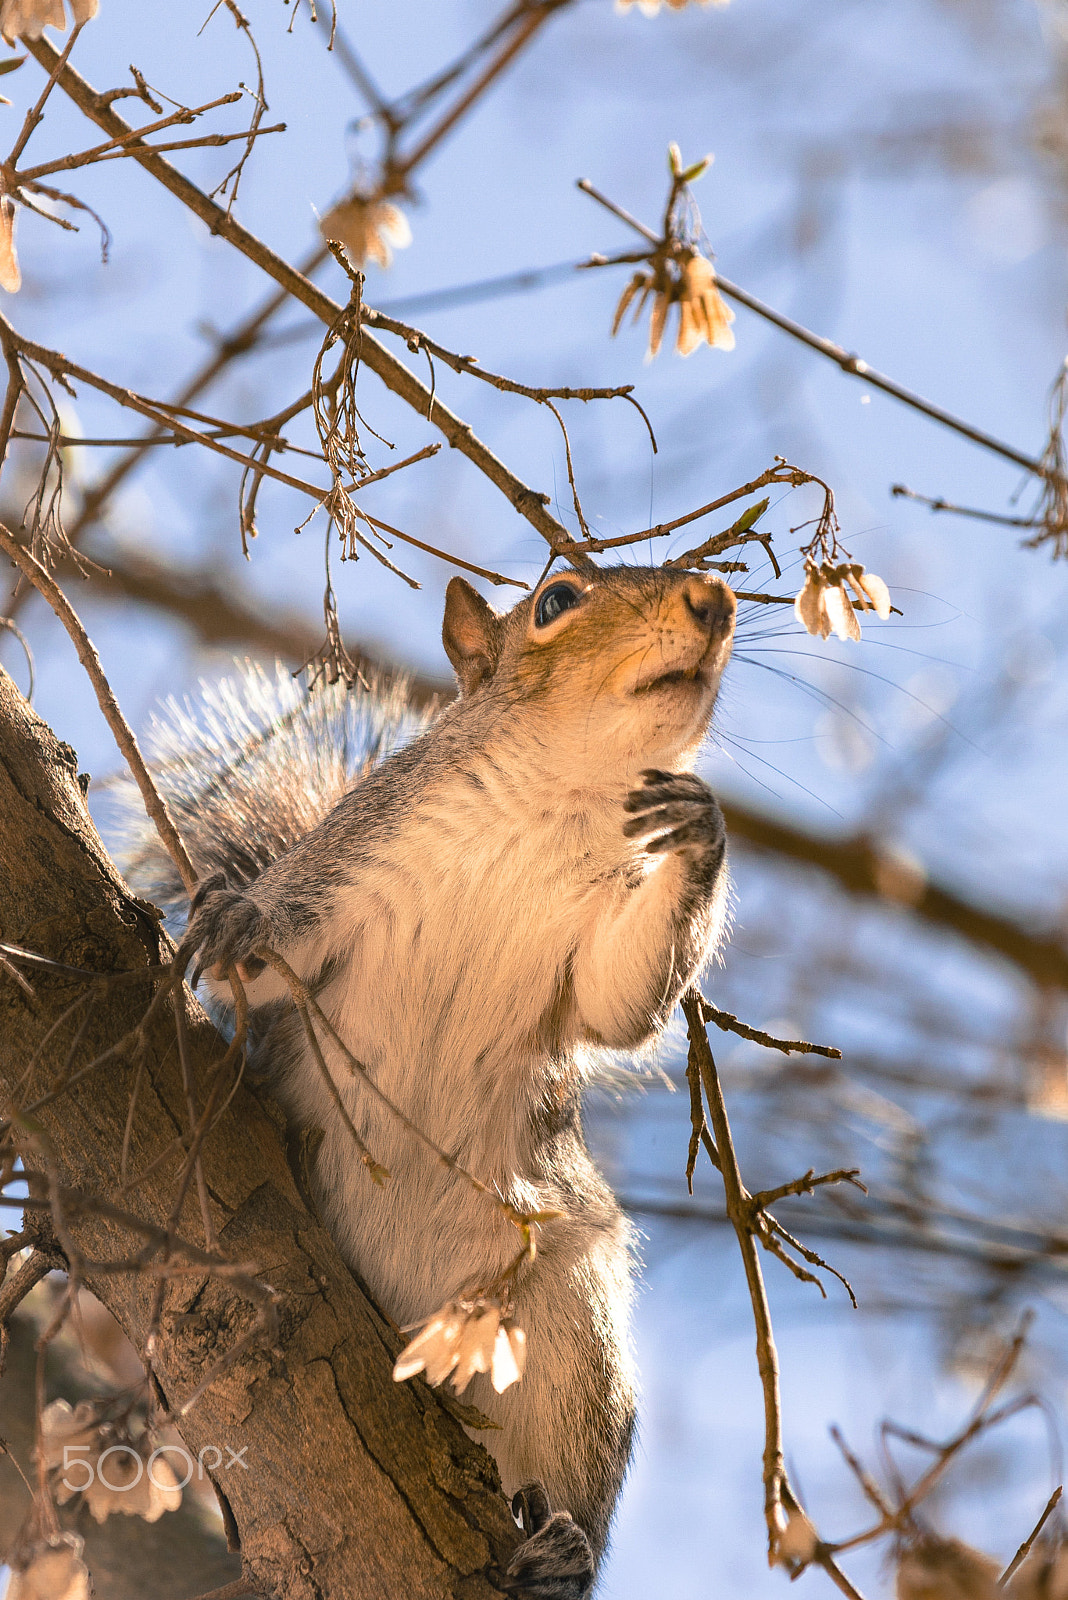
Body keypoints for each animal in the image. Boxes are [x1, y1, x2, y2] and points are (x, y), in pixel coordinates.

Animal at [123, 560, 735, 1587]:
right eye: (555, 600)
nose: (716, 602)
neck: (561, 801)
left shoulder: (595, 955)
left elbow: (621, 1003)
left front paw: (701, 826)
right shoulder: (357, 852)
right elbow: (280, 943)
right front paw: (241, 918)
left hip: (572, 1345)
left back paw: (558, 1550)